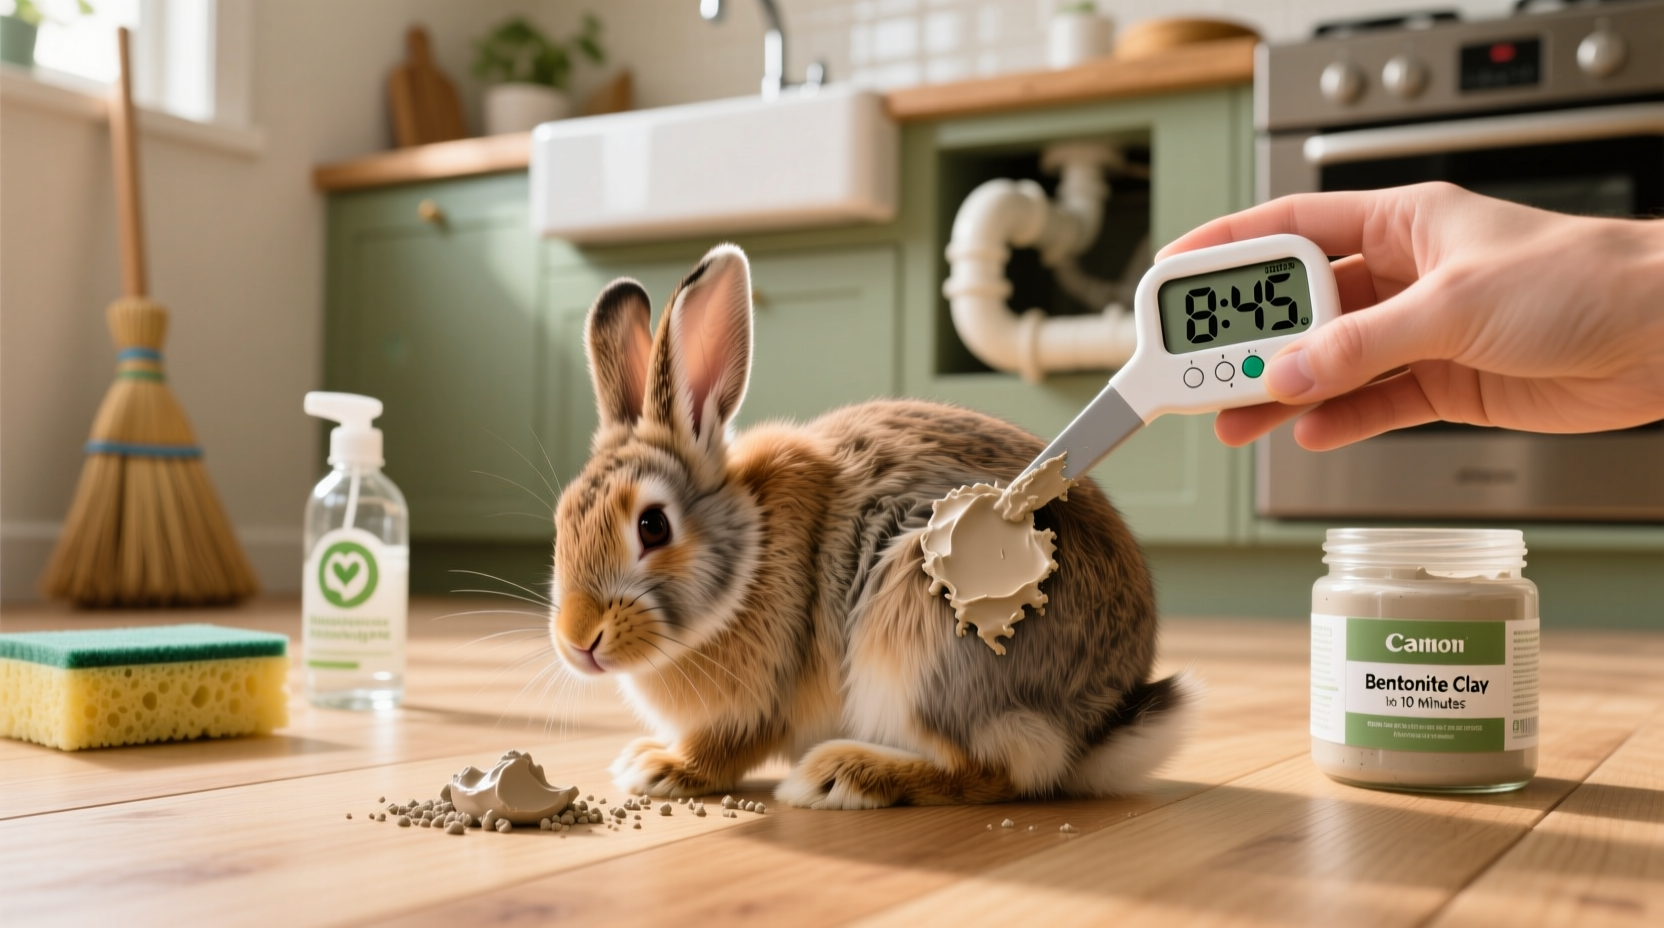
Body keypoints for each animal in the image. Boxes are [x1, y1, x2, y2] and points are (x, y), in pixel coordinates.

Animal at [550, 243, 1199, 809]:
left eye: (653, 526)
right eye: (561, 519)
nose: (578, 641)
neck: (750, 554)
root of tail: (1094, 724)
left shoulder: (762, 701)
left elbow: (727, 748)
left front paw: (658, 768)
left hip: (924, 642)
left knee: (997, 770)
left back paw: (840, 777)